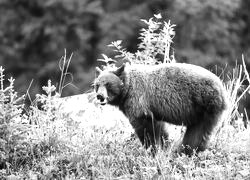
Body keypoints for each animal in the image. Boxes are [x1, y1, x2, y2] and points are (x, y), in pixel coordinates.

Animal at [94, 63, 229, 155]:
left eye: (108, 84)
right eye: (97, 85)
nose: (99, 96)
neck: (126, 91)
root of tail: (221, 87)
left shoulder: (138, 100)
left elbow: (146, 127)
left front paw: (152, 148)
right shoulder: (153, 109)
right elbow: (159, 127)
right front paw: (164, 146)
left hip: (206, 105)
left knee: (199, 132)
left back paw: (186, 151)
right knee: (195, 131)